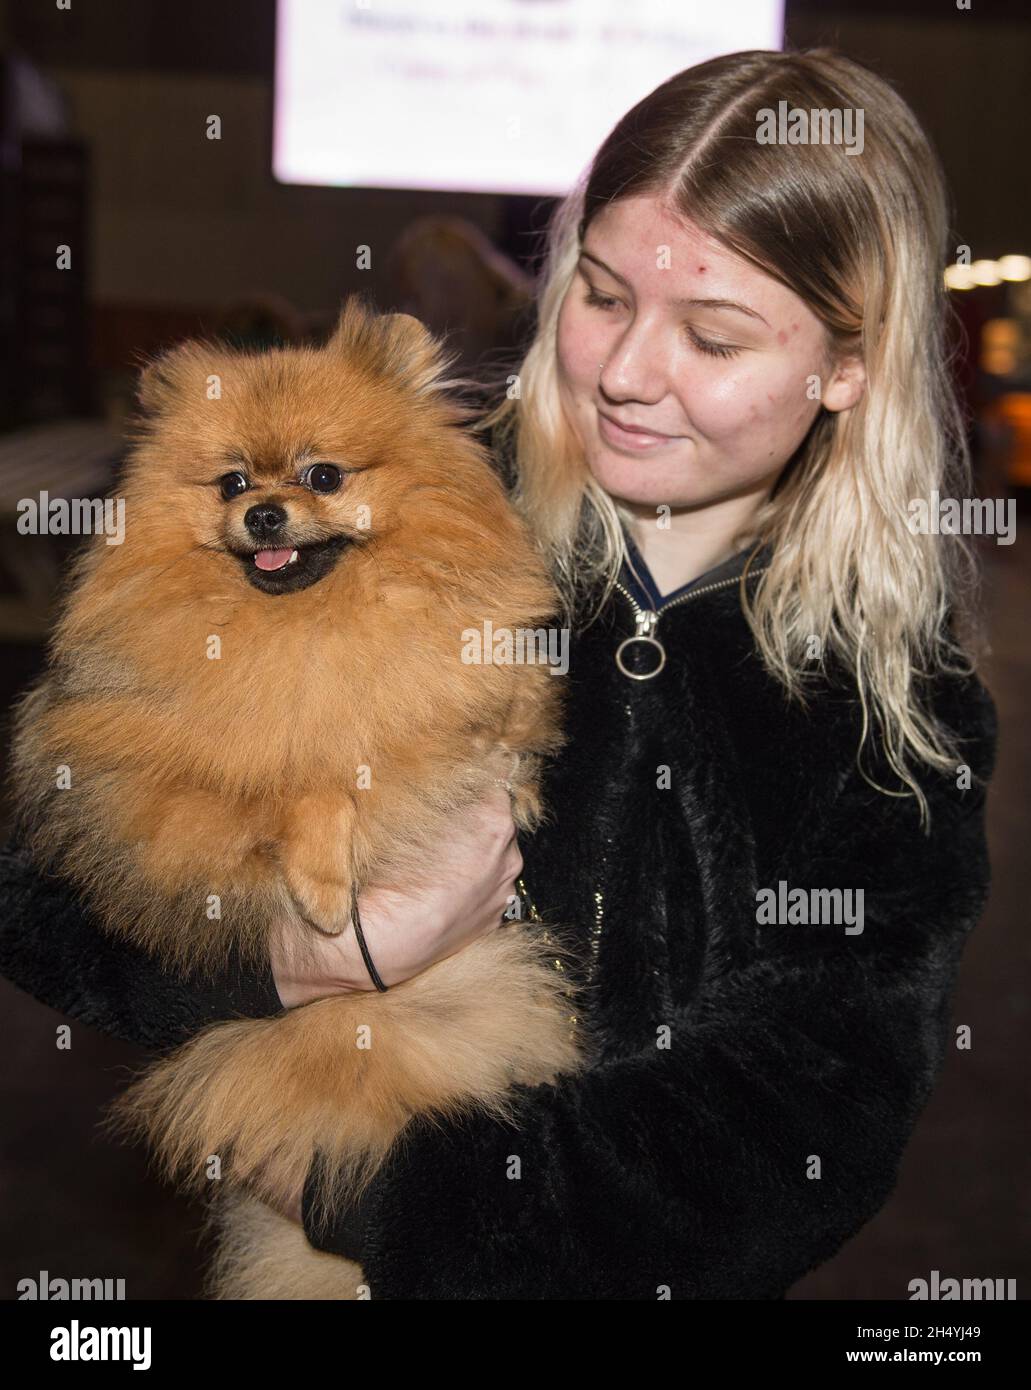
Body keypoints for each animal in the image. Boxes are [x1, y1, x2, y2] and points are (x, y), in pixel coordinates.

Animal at [10, 296, 589, 1301]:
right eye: (231, 481)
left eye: (324, 475)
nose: (264, 510)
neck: (310, 623)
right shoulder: (145, 775)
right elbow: (305, 783)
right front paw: (323, 889)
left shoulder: (461, 676)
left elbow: (482, 714)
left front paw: (512, 781)